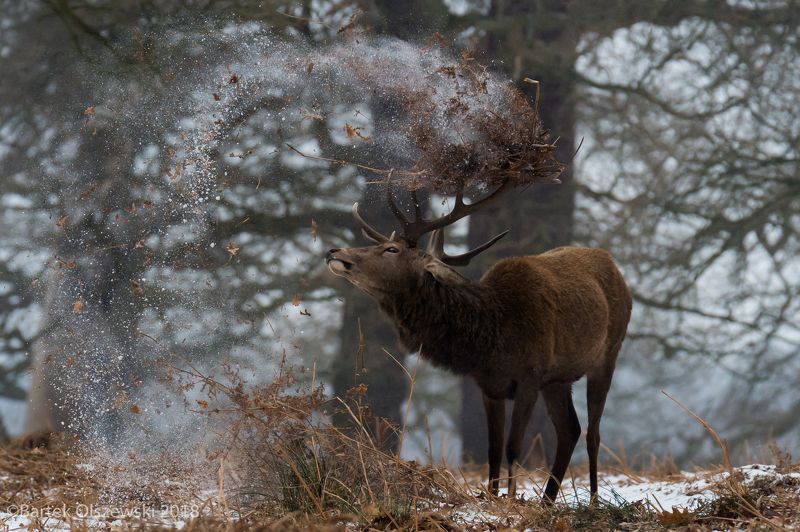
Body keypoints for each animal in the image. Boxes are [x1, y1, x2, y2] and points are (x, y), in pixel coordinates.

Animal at [325, 181, 632, 502]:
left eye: (391, 249)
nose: (335, 251)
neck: (493, 338)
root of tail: (615, 267)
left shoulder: (530, 378)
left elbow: (513, 447)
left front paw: (511, 500)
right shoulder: (490, 386)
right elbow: (493, 450)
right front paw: (494, 497)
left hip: (607, 355)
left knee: (593, 433)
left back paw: (594, 500)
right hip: (558, 380)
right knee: (569, 430)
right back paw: (548, 502)